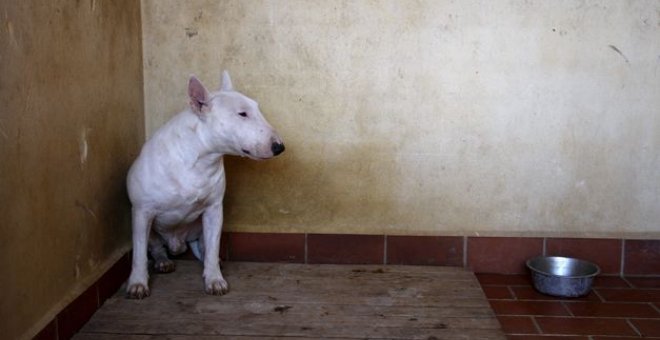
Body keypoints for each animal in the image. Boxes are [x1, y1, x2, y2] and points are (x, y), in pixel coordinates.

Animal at [126, 71, 284, 298]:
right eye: (242, 114)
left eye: (257, 109)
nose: (279, 147)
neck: (200, 158)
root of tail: (177, 245)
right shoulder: (141, 211)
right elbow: (138, 253)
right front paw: (137, 283)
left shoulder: (214, 209)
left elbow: (213, 246)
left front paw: (215, 280)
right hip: (151, 230)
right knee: (155, 248)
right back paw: (163, 262)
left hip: (199, 230)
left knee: (205, 249)